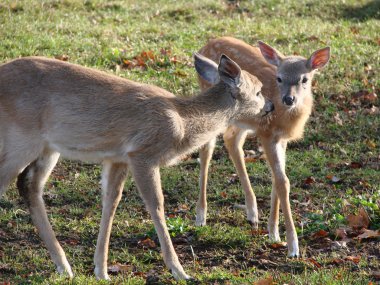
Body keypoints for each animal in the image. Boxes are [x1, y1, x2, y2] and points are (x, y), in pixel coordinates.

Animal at [0, 52, 274, 278]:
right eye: (259, 91)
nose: (271, 105)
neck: (183, 122)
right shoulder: (143, 153)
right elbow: (157, 204)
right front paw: (179, 271)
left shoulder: (118, 157)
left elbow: (111, 202)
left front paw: (101, 270)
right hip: (20, 139)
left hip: (48, 148)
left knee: (29, 185)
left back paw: (64, 266)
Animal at [196, 36, 330, 256]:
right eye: (279, 78)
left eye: (304, 79)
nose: (288, 99)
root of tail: (206, 44)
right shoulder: (267, 134)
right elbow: (283, 182)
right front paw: (293, 246)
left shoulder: (281, 139)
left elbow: (278, 180)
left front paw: (273, 233)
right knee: (206, 151)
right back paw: (200, 216)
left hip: (240, 120)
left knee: (231, 140)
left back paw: (252, 213)